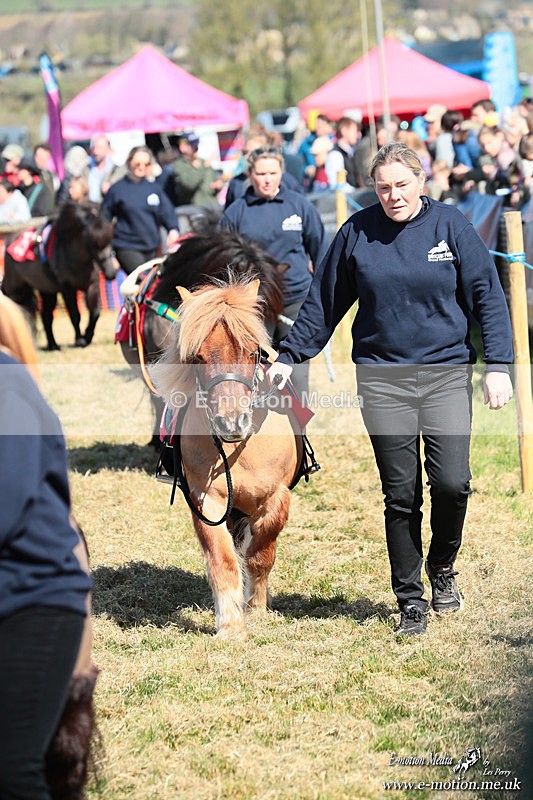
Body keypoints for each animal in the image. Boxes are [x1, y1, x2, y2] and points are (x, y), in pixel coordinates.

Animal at [2, 200, 116, 350]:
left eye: (110, 241)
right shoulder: (67, 288)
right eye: (93, 243)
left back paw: (53, 344)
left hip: (46, 290)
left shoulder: (92, 285)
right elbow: (75, 314)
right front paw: (80, 340)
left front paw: (88, 336)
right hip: (16, 288)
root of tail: (8, 243)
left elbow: (95, 313)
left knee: (46, 315)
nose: (111, 273)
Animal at [152, 276, 306, 638]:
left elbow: (260, 556)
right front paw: (231, 625)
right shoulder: (205, 501)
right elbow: (222, 560)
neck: (238, 451)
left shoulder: (276, 499)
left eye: (253, 352)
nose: (231, 422)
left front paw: (257, 608)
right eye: (197, 357)